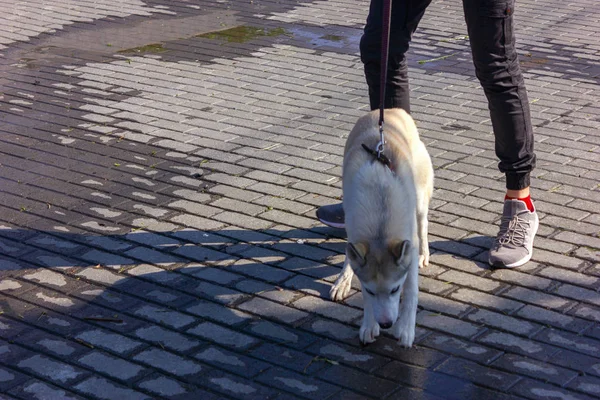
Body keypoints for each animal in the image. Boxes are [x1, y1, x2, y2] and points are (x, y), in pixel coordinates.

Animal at [330, 108, 434, 346]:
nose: (386, 324)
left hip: (420, 198)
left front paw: (405, 329)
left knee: (423, 223)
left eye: (395, 289)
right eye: (370, 291)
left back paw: (424, 254)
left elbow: (412, 290)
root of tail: (391, 110)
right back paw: (343, 280)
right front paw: (369, 325)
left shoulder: (408, 245)